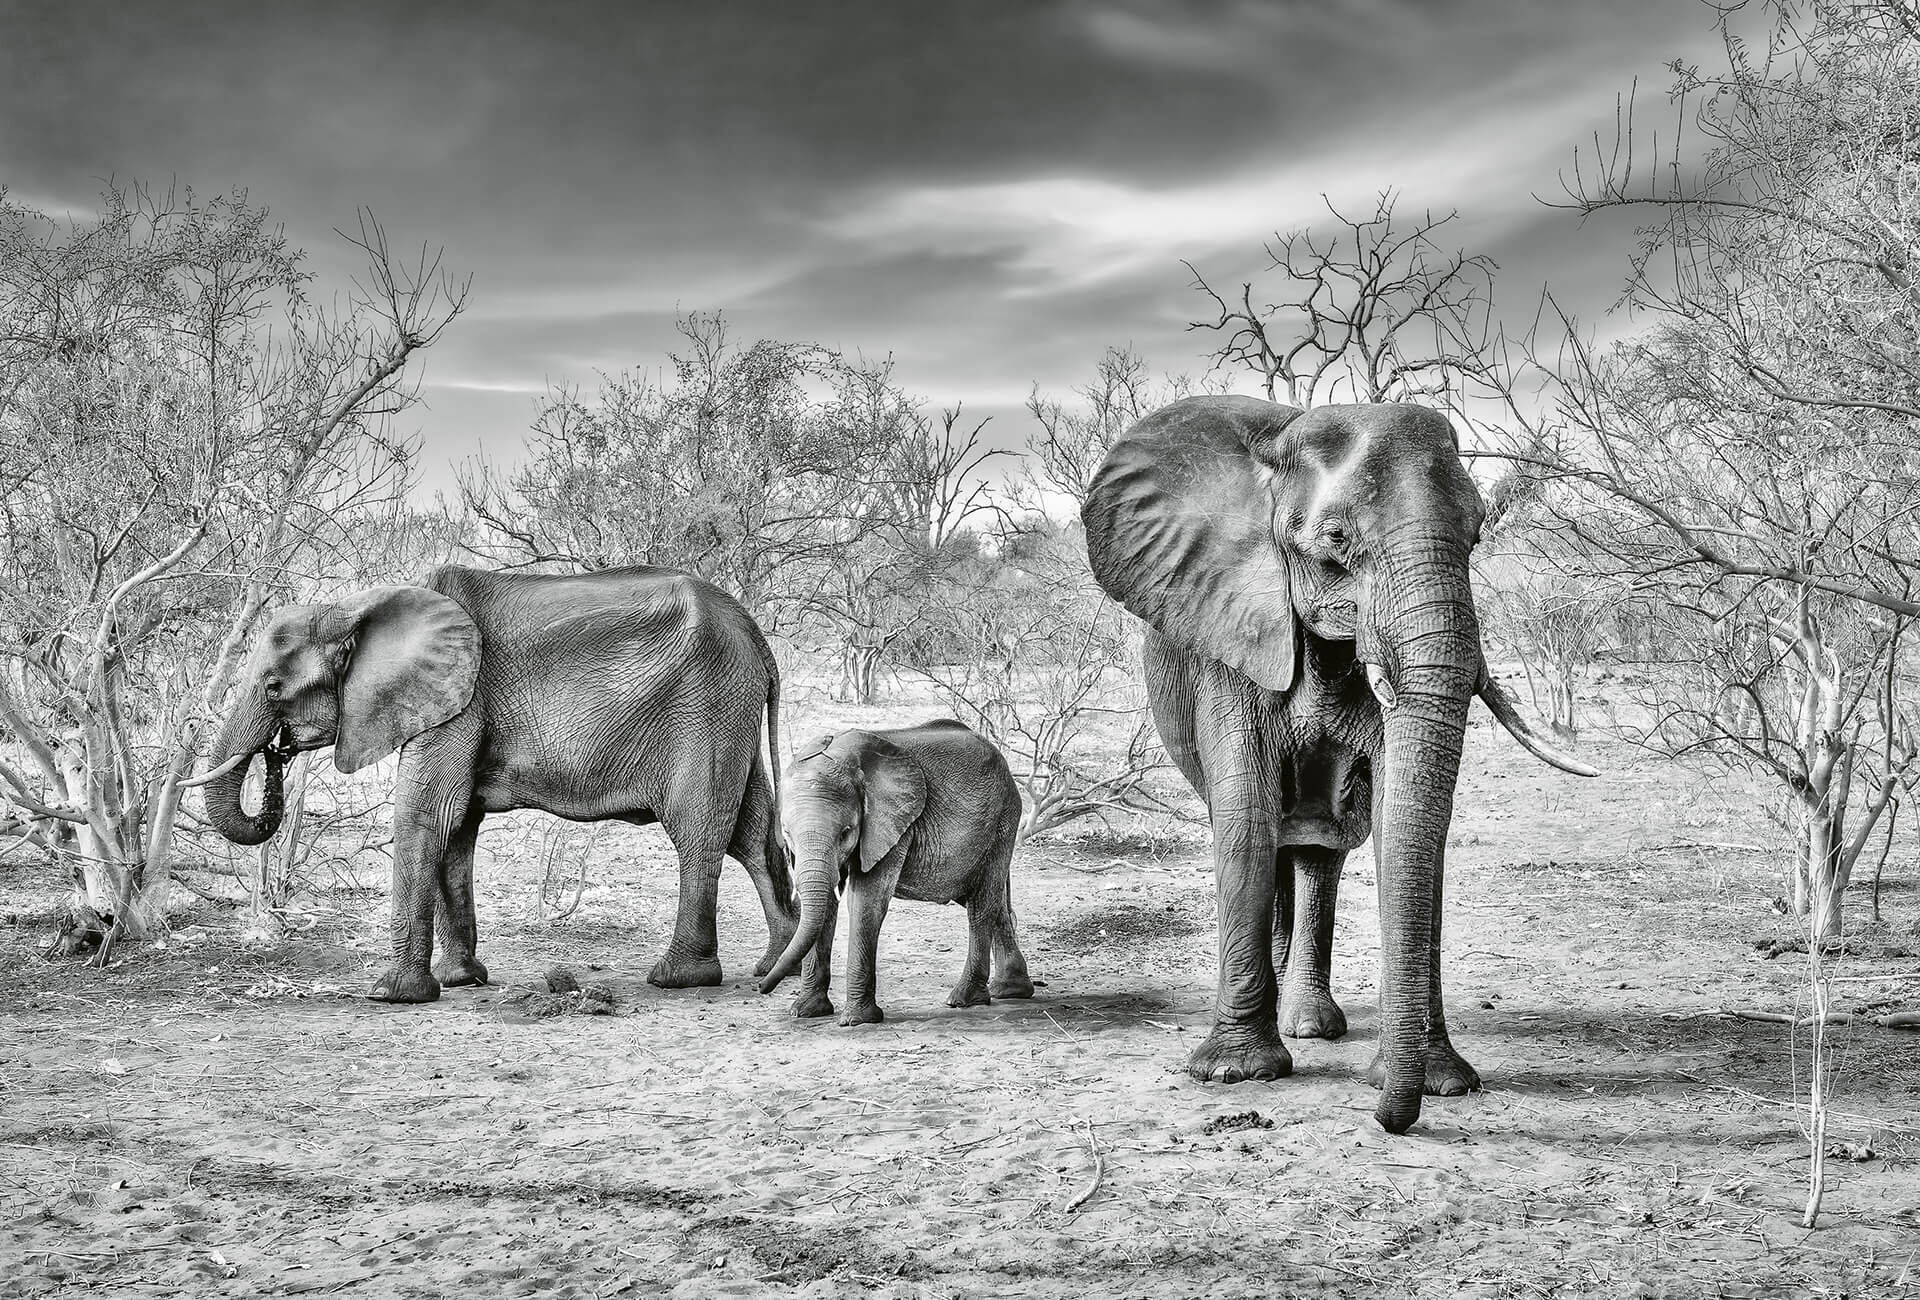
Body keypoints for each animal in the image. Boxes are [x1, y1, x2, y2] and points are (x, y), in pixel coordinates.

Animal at [201, 564, 799, 1002]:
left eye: (274, 686)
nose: (276, 754)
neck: (351, 608)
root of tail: (758, 640)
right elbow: (456, 828)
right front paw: (462, 978)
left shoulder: (458, 703)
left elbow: (426, 816)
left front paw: (394, 995)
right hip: (729, 709)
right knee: (752, 834)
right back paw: (778, 965)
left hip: (706, 706)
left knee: (699, 831)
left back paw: (678, 979)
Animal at [755, 720, 1034, 1025]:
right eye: (786, 834)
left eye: (846, 833)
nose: (761, 986)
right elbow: (826, 903)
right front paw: (805, 1011)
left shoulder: (891, 823)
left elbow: (864, 902)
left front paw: (856, 1020)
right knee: (992, 901)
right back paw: (1010, 990)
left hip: (1003, 819)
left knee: (981, 904)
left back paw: (964, 999)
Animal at [1081, 395, 1593, 1134]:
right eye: (1336, 541)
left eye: (1473, 538)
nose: (1384, 1118)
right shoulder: (1230, 629)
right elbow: (1245, 813)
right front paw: (1235, 1072)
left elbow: (1397, 824)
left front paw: (1443, 1082)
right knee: (1272, 833)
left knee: (1317, 847)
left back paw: (1311, 1025)